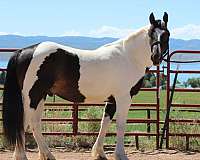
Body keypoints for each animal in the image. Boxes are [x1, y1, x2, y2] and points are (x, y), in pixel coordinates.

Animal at [2, 12, 170, 160]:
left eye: (166, 35)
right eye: (151, 34)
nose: (156, 57)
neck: (129, 57)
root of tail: (23, 51)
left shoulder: (112, 100)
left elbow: (104, 124)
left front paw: (99, 153)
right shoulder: (123, 98)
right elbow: (120, 125)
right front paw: (120, 155)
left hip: (40, 96)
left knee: (34, 124)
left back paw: (47, 155)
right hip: (32, 96)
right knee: (24, 123)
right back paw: (22, 156)